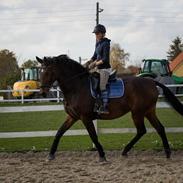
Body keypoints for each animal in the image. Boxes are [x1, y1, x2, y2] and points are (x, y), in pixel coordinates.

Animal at [35, 54, 183, 162]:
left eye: (48, 71)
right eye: (40, 72)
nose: (42, 92)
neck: (77, 87)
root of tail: (151, 81)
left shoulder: (85, 118)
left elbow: (93, 136)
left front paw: (102, 155)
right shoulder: (72, 116)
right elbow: (59, 132)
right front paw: (51, 154)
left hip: (137, 113)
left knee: (142, 130)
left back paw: (126, 150)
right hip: (148, 111)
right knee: (159, 128)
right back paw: (167, 153)